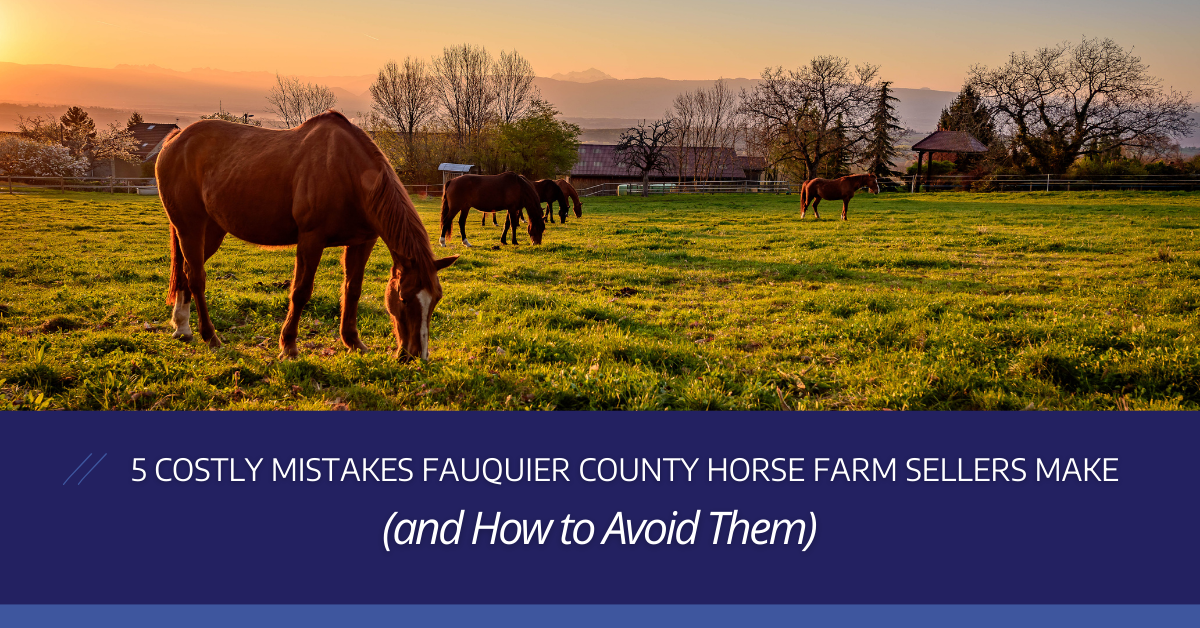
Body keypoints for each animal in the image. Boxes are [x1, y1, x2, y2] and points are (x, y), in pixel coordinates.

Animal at [155, 111, 458, 361]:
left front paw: (353, 342)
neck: (347, 172)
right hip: (190, 226)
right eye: (404, 298)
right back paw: (210, 337)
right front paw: (288, 346)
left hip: (212, 231)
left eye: (436, 299)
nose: (416, 355)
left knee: (185, 271)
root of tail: (175, 141)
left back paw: (182, 327)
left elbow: (353, 290)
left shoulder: (362, 242)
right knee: (197, 277)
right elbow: (301, 291)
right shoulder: (311, 240)